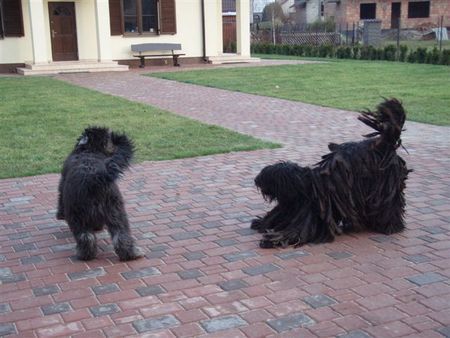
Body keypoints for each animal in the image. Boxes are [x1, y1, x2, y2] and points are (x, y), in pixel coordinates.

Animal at [56, 127, 142, 262]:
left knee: (85, 237)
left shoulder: (62, 184)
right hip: (115, 211)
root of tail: (95, 178)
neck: (89, 150)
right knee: (121, 235)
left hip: (76, 215)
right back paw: (130, 254)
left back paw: (84, 255)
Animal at [251, 97, 410, 248]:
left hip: (386, 186)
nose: (256, 180)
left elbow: (295, 233)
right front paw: (261, 223)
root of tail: (385, 142)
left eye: (267, 177)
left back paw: (390, 227)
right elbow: (276, 216)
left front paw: (270, 240)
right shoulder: (288, 208)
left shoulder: (309, 215)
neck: (305, 186)